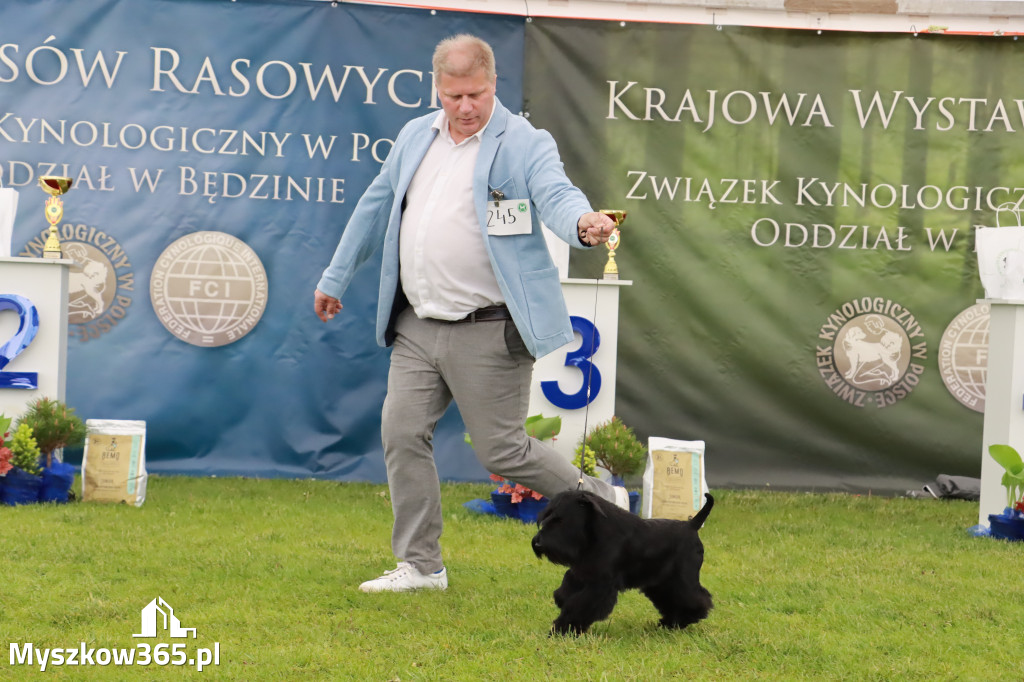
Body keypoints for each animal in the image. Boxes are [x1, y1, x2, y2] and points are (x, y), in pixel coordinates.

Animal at [532, 489, 716, 630]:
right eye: (546, 517)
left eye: (561, 520)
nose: (538, 543)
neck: (595, 533)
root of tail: (692, 525)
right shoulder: (584, 571)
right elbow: (567, 585)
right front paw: (561, 599)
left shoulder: (599, 584)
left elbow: (579, 606)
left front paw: (562, 629)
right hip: (662, 584)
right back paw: (670, 623)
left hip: (682, 579)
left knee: (698, 598)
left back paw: (683, 620)